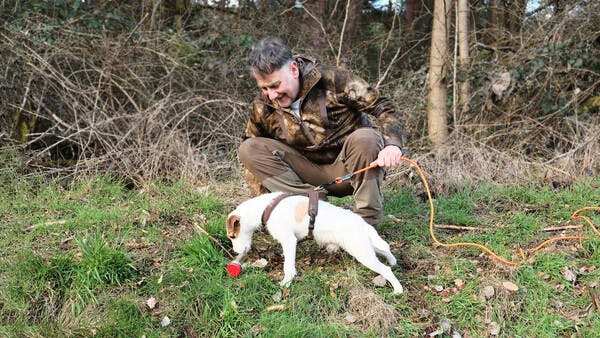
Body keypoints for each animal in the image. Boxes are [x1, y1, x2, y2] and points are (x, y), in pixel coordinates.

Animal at [227, 193, 406, 294]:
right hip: (367, 247)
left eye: (232, 236)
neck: (266, 208)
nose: (236, 253)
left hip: (362, 253)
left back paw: (398, 290)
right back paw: (393, 261)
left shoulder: (289, 240)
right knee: (385, 249)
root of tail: (362, 223)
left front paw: (286, 282)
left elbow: (288, 266)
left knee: (386, 269)